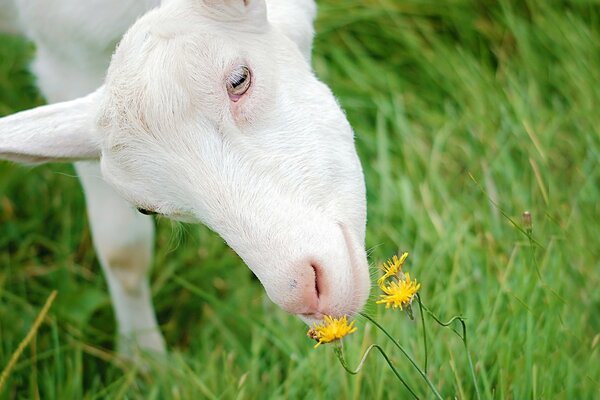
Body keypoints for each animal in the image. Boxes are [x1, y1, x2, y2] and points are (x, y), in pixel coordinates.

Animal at [0, 0, 370, 356]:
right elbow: (123, 253)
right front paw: (145, 359)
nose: (304, 293)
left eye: (239, 79)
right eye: (147, 209)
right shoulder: (66, 57)